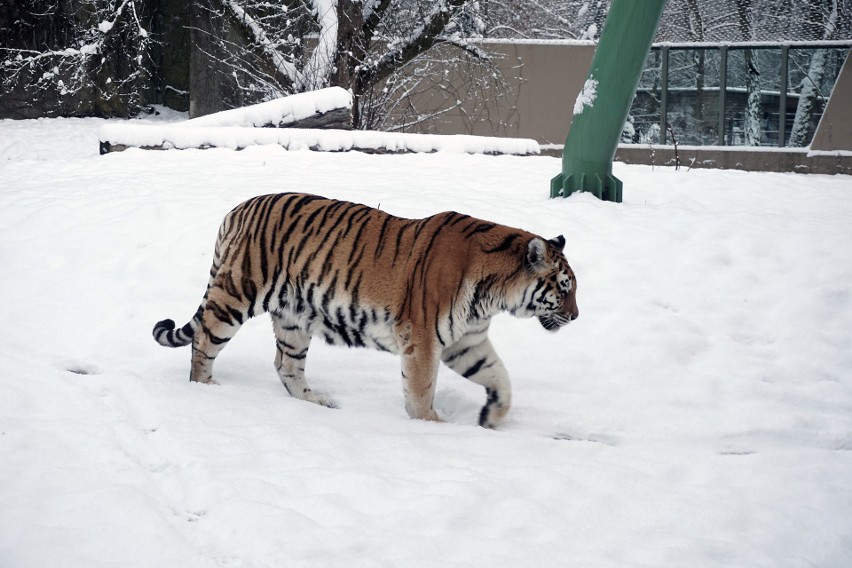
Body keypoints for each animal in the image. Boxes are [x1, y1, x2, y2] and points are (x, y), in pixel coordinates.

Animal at [153, 193, 580, 428]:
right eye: (565, 287)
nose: (576, 316)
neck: (494, 295)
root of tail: (237, 209)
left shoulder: (467, 342)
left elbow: (500, 377)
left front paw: (492, 417)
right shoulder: (422, 339)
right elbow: (421, 390)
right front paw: (432, 426)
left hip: (293, 318)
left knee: (286, 365)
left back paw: (316, 402)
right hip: (237, 294)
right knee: (204, 340)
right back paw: (206, 388)